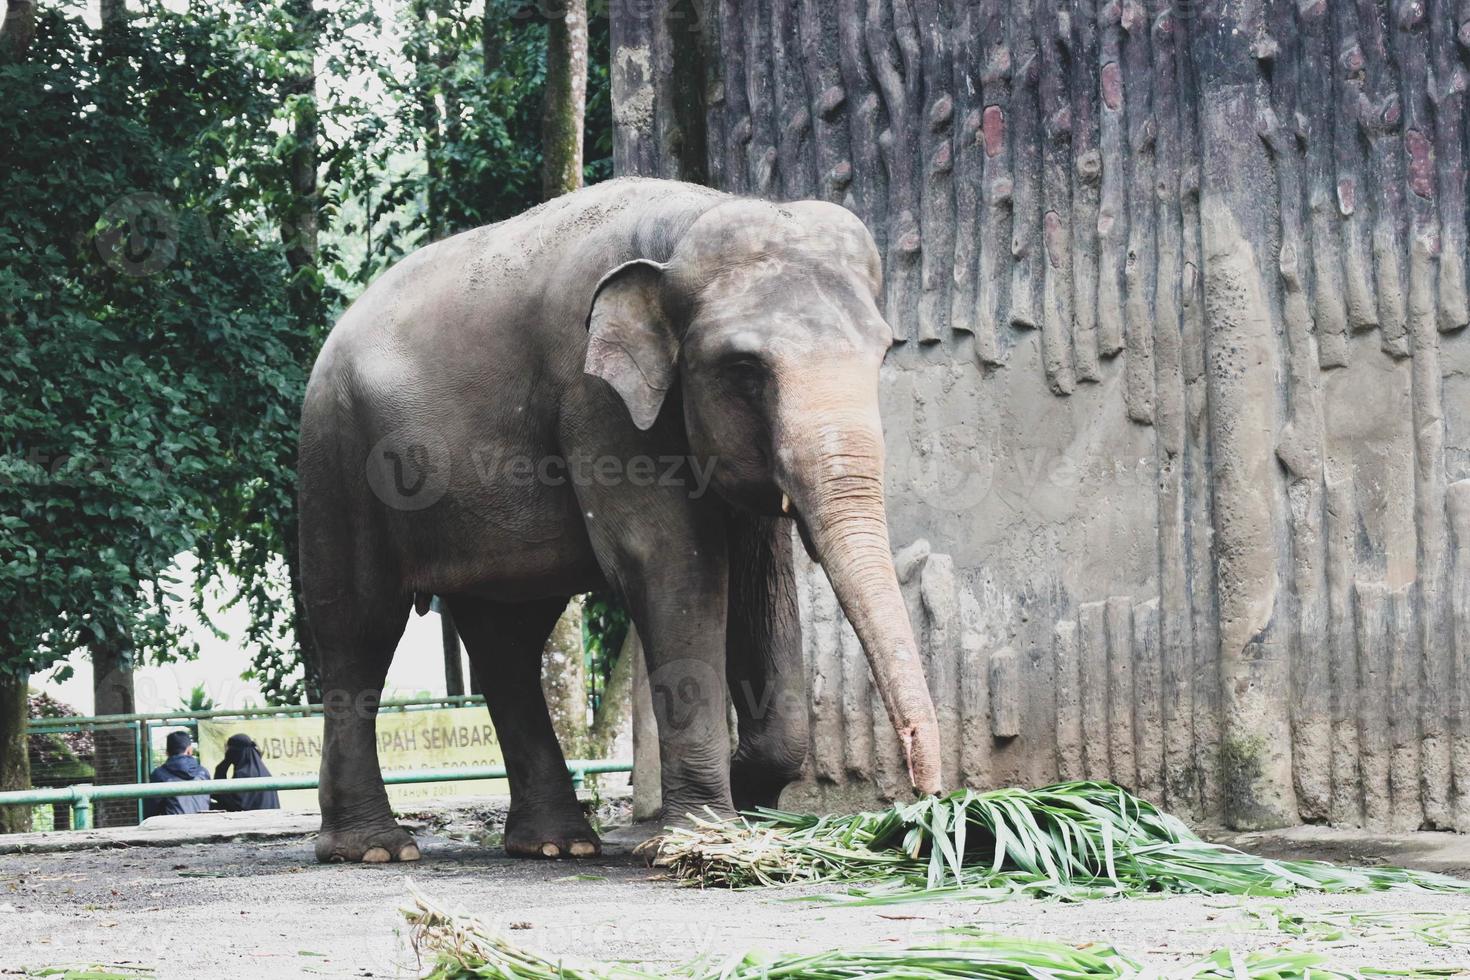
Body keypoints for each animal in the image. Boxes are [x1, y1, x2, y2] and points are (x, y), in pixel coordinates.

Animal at [298, 178, 940, 863]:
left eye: (882, 353)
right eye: (743, 369)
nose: (927, 798)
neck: (685, 226)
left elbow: (761, 580)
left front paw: (745, 796)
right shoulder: (596, 400)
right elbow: (666, 561)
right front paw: (699, 836)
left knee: (507, 639)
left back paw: (557, 846)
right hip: (338, 460)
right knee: (359, 628)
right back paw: (374, 849)